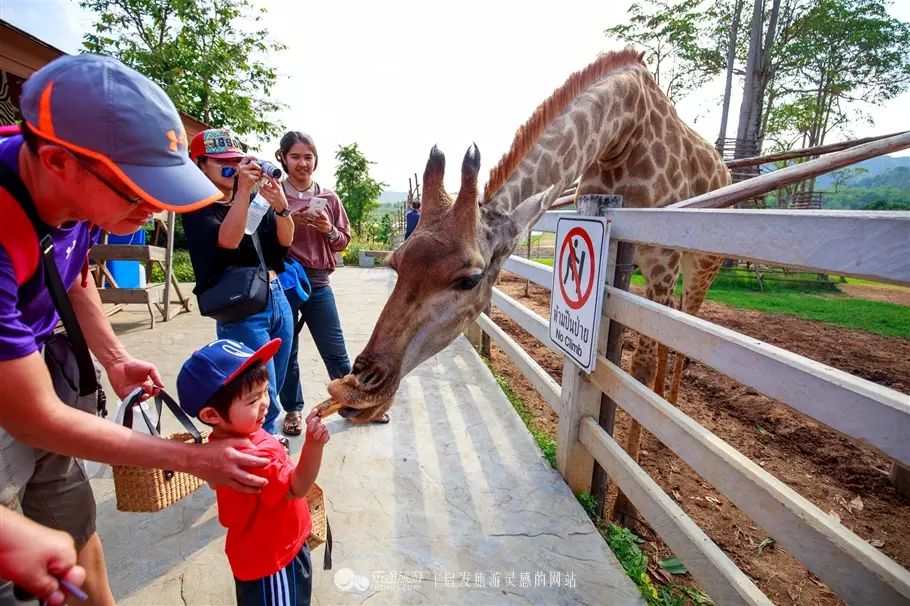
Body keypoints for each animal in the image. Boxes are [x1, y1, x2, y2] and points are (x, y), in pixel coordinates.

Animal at [328, 48, 732, 470]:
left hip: (700, 264)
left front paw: (629, 476)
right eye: (396, 263)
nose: (353, 393)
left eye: (470, 279)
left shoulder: (662, 258)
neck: (620, 132)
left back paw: (668, 415)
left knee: (683, 328)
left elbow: (642, 360)